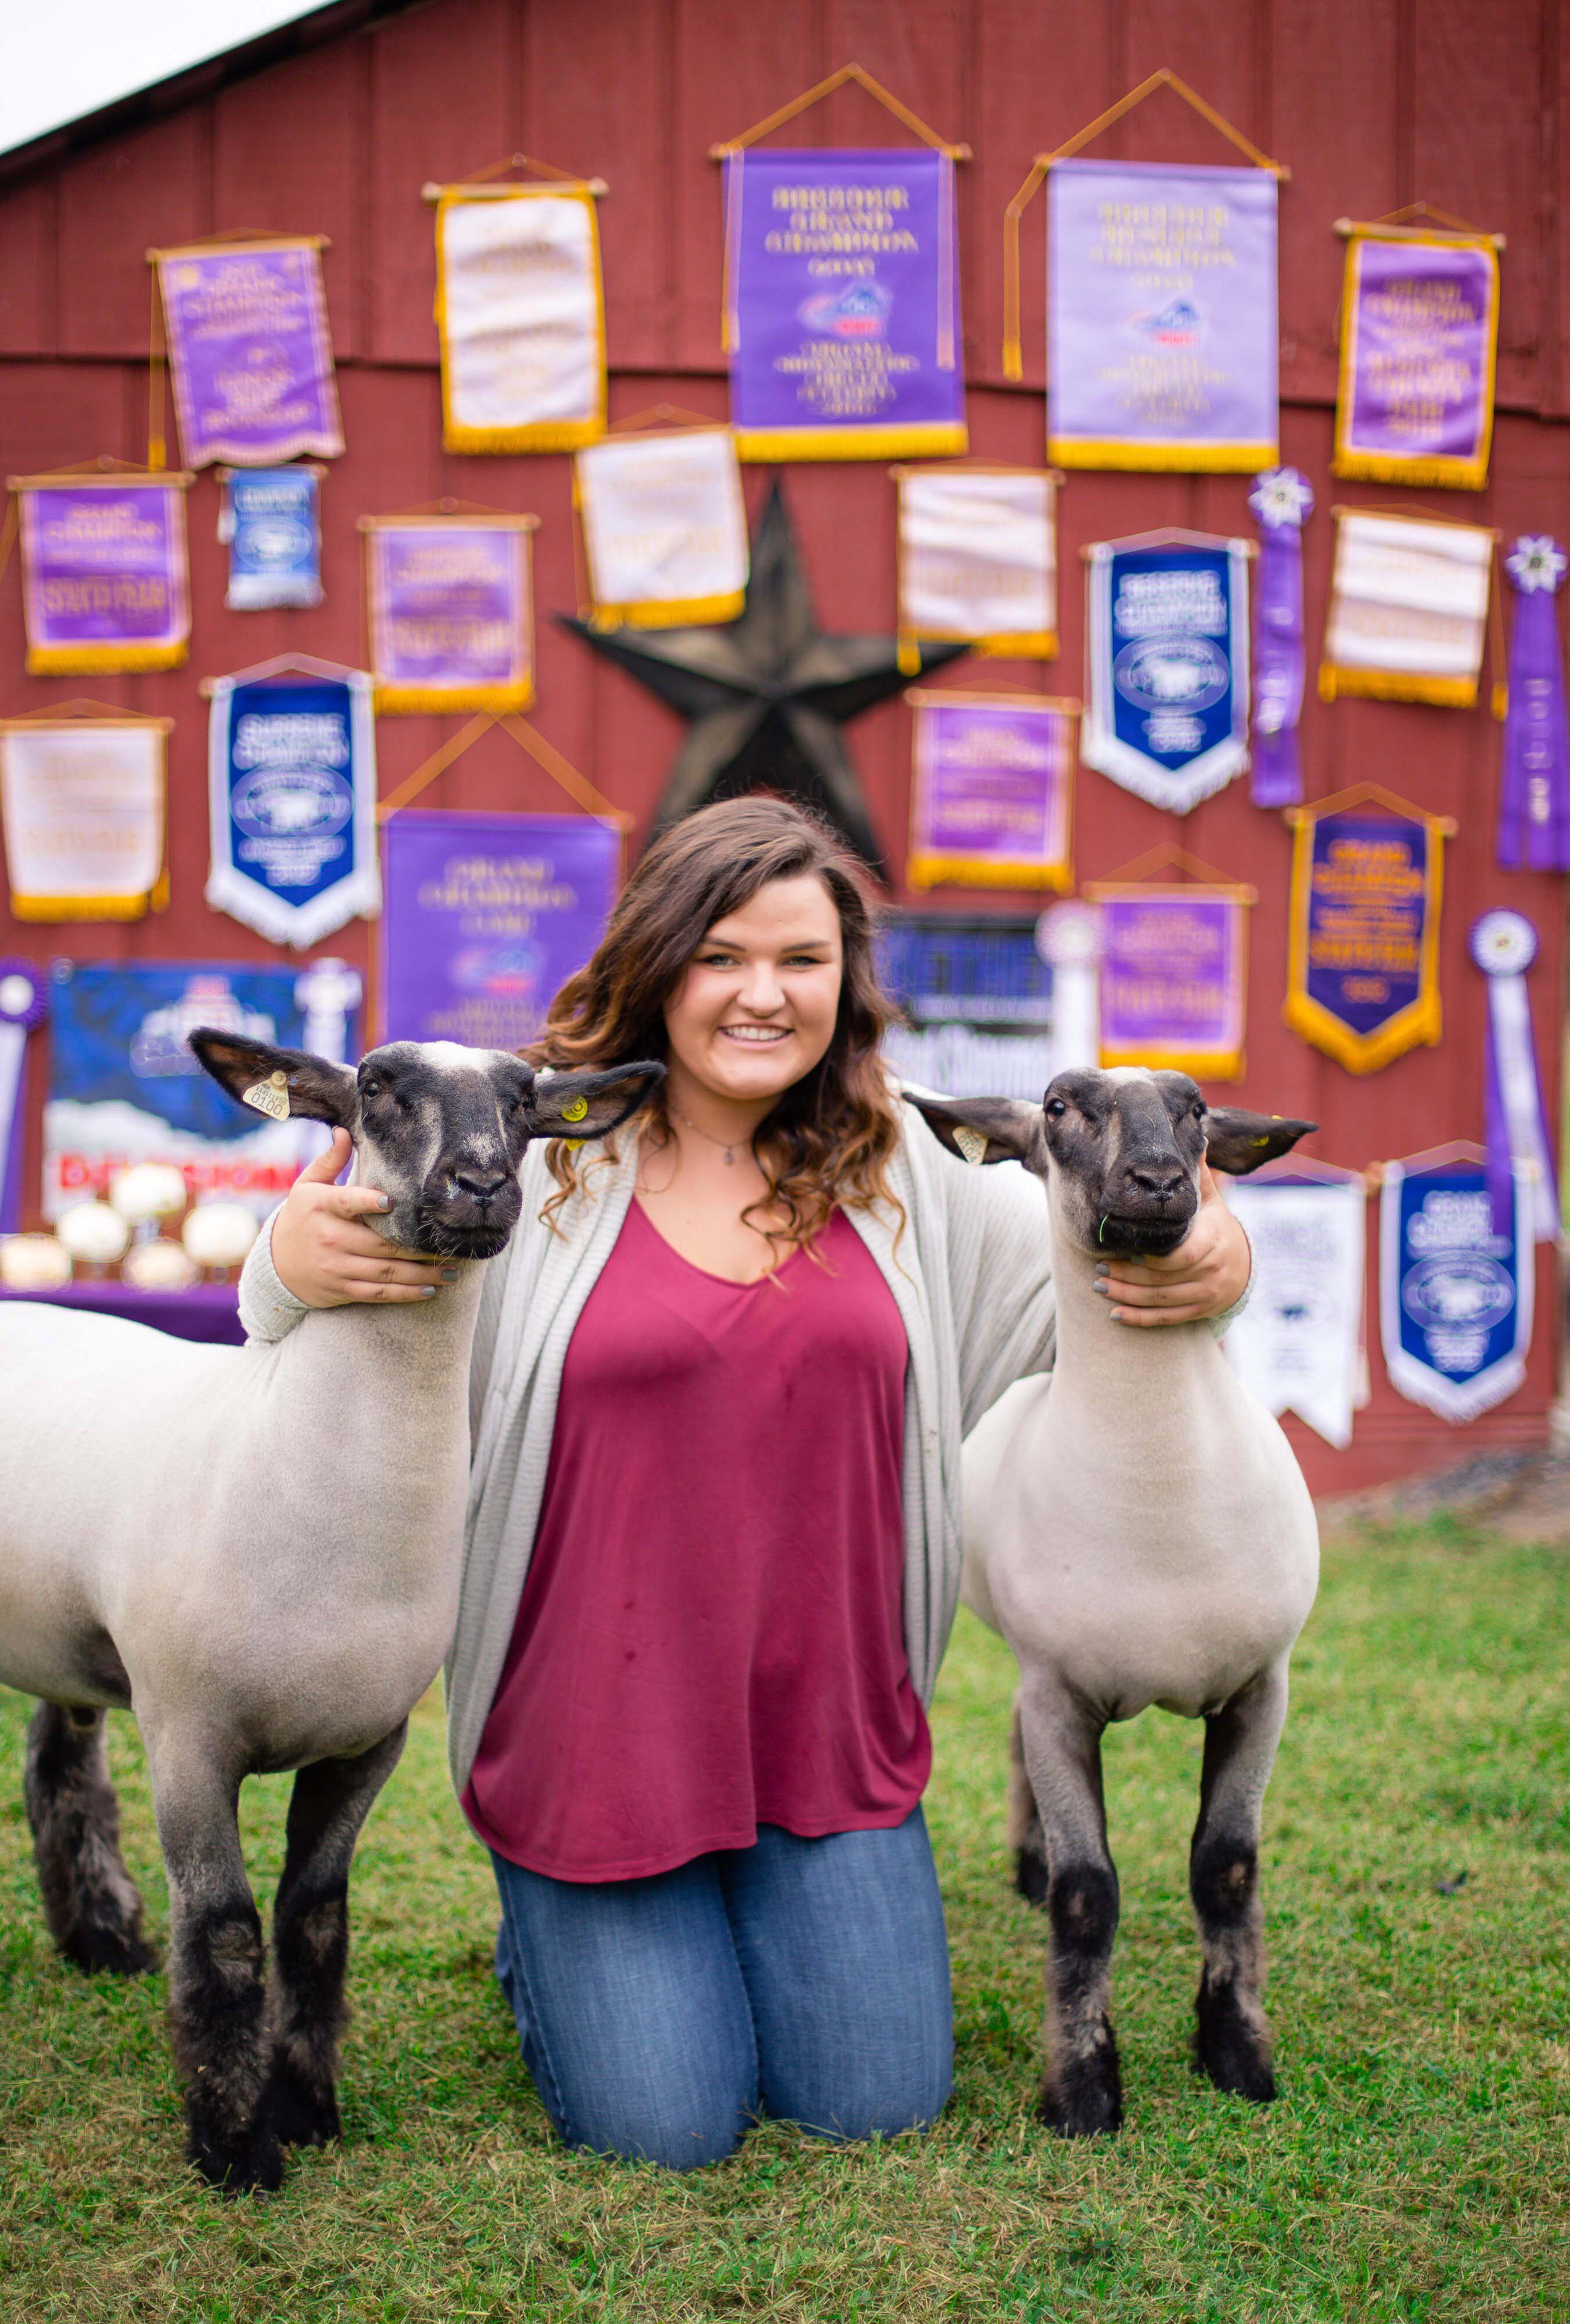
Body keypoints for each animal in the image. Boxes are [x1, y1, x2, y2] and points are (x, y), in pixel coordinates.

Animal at [0, 1037, 655, 2194]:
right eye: (377, 1085)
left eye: (524, 1098)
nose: (480, 1185)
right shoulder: (190, 1735)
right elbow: (224, 1934)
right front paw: (233, 2149)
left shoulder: (367, 1740)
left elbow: (313, 1922)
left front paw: (307, 2107)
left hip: (68, 1627)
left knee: (61, 1766)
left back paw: (105, 1941)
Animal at [906, 1069, 1328, 2138]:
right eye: (1058, 1107)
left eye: (1196, 1110)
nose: (1159, 1182)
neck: (1158, 1497)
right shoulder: (1059, 1693)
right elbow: (1086, 1895)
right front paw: (1082, 2089)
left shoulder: (1261, 1689)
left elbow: (1224, 1867)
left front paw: (1236, 2054)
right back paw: (1027, 1869)